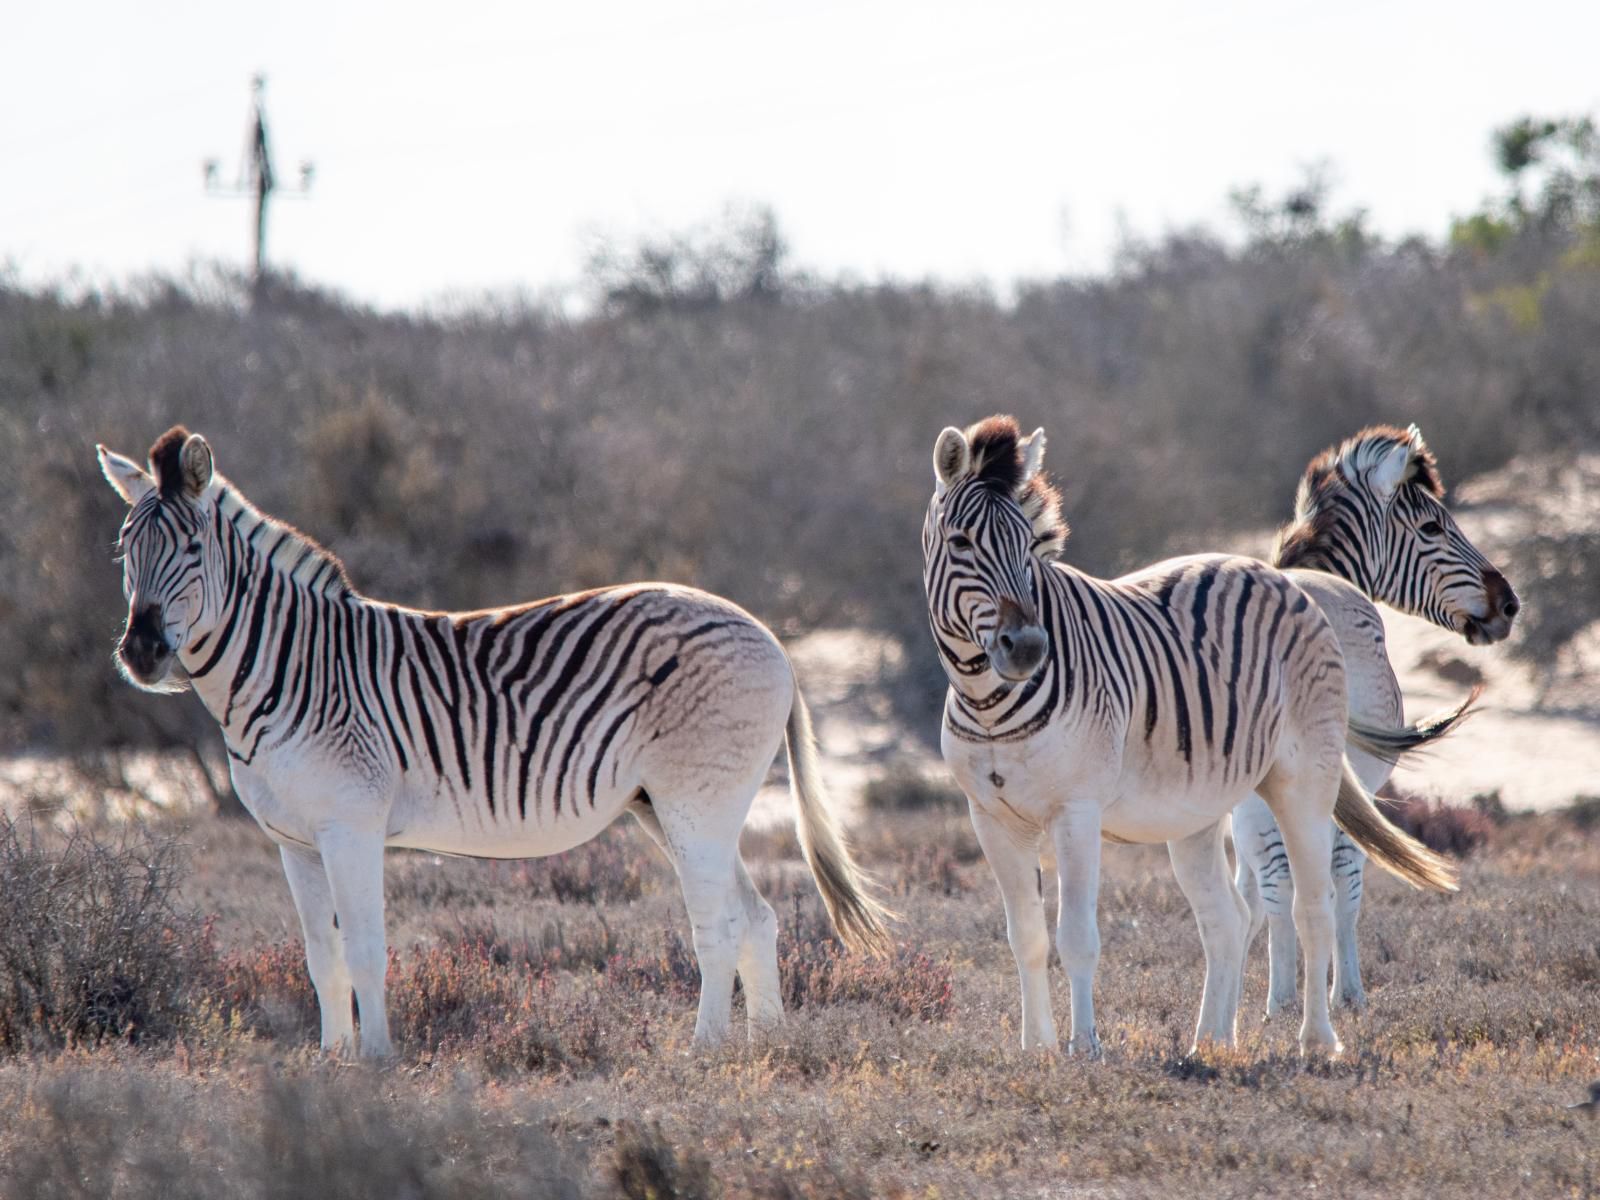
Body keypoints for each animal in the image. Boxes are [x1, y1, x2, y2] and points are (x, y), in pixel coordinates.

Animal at [100, 428, 896, 1056]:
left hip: (696, 804)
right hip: (670, 809)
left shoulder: (351, 824)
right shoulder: (293, 840)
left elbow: (365, 950)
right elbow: (321, 959)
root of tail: (770, 638)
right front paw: (332, 1060)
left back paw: (703, 1053)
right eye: (123, 550)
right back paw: (768, 1049)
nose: (140, 652)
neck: (291, 665)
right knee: (757, 918)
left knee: (720, 924)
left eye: (192, 547)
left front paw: (375, 1063)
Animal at [928, 419, 1465, 1056]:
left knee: (1313, 904)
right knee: (1227, 917)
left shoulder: (1076, 811)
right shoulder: (990, 817)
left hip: (1302, 782)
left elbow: (1076, 937)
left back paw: (1315, 1038)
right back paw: (1209, 1043)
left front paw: (1085, 1050)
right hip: (1197, 813)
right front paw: (1038, 1051)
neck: (990, 703)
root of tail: (1281, 578)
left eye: (1029, 547)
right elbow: (1026, 937)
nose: (1028, 649)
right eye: (961, 542)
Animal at [1228, 428, 1516, 1017]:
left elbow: (1250, 891)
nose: (1510, 605)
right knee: (1337, 874)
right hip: (1348, 772)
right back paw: (1338, 993)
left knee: (1282, 879)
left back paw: (1283, 998)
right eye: (1433, 527)